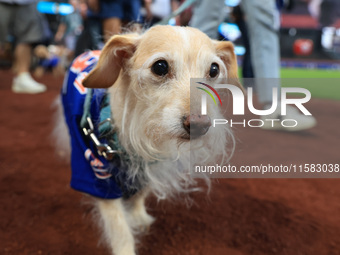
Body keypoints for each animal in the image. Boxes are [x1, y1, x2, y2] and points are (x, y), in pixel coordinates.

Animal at [57, 25, 239, 255]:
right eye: (160, 67)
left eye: (214, 70)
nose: (200, 124)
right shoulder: (97, 177)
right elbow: (119, 228)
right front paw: (126, 248)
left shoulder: (148, 168)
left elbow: (139, 195)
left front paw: (138, 217)